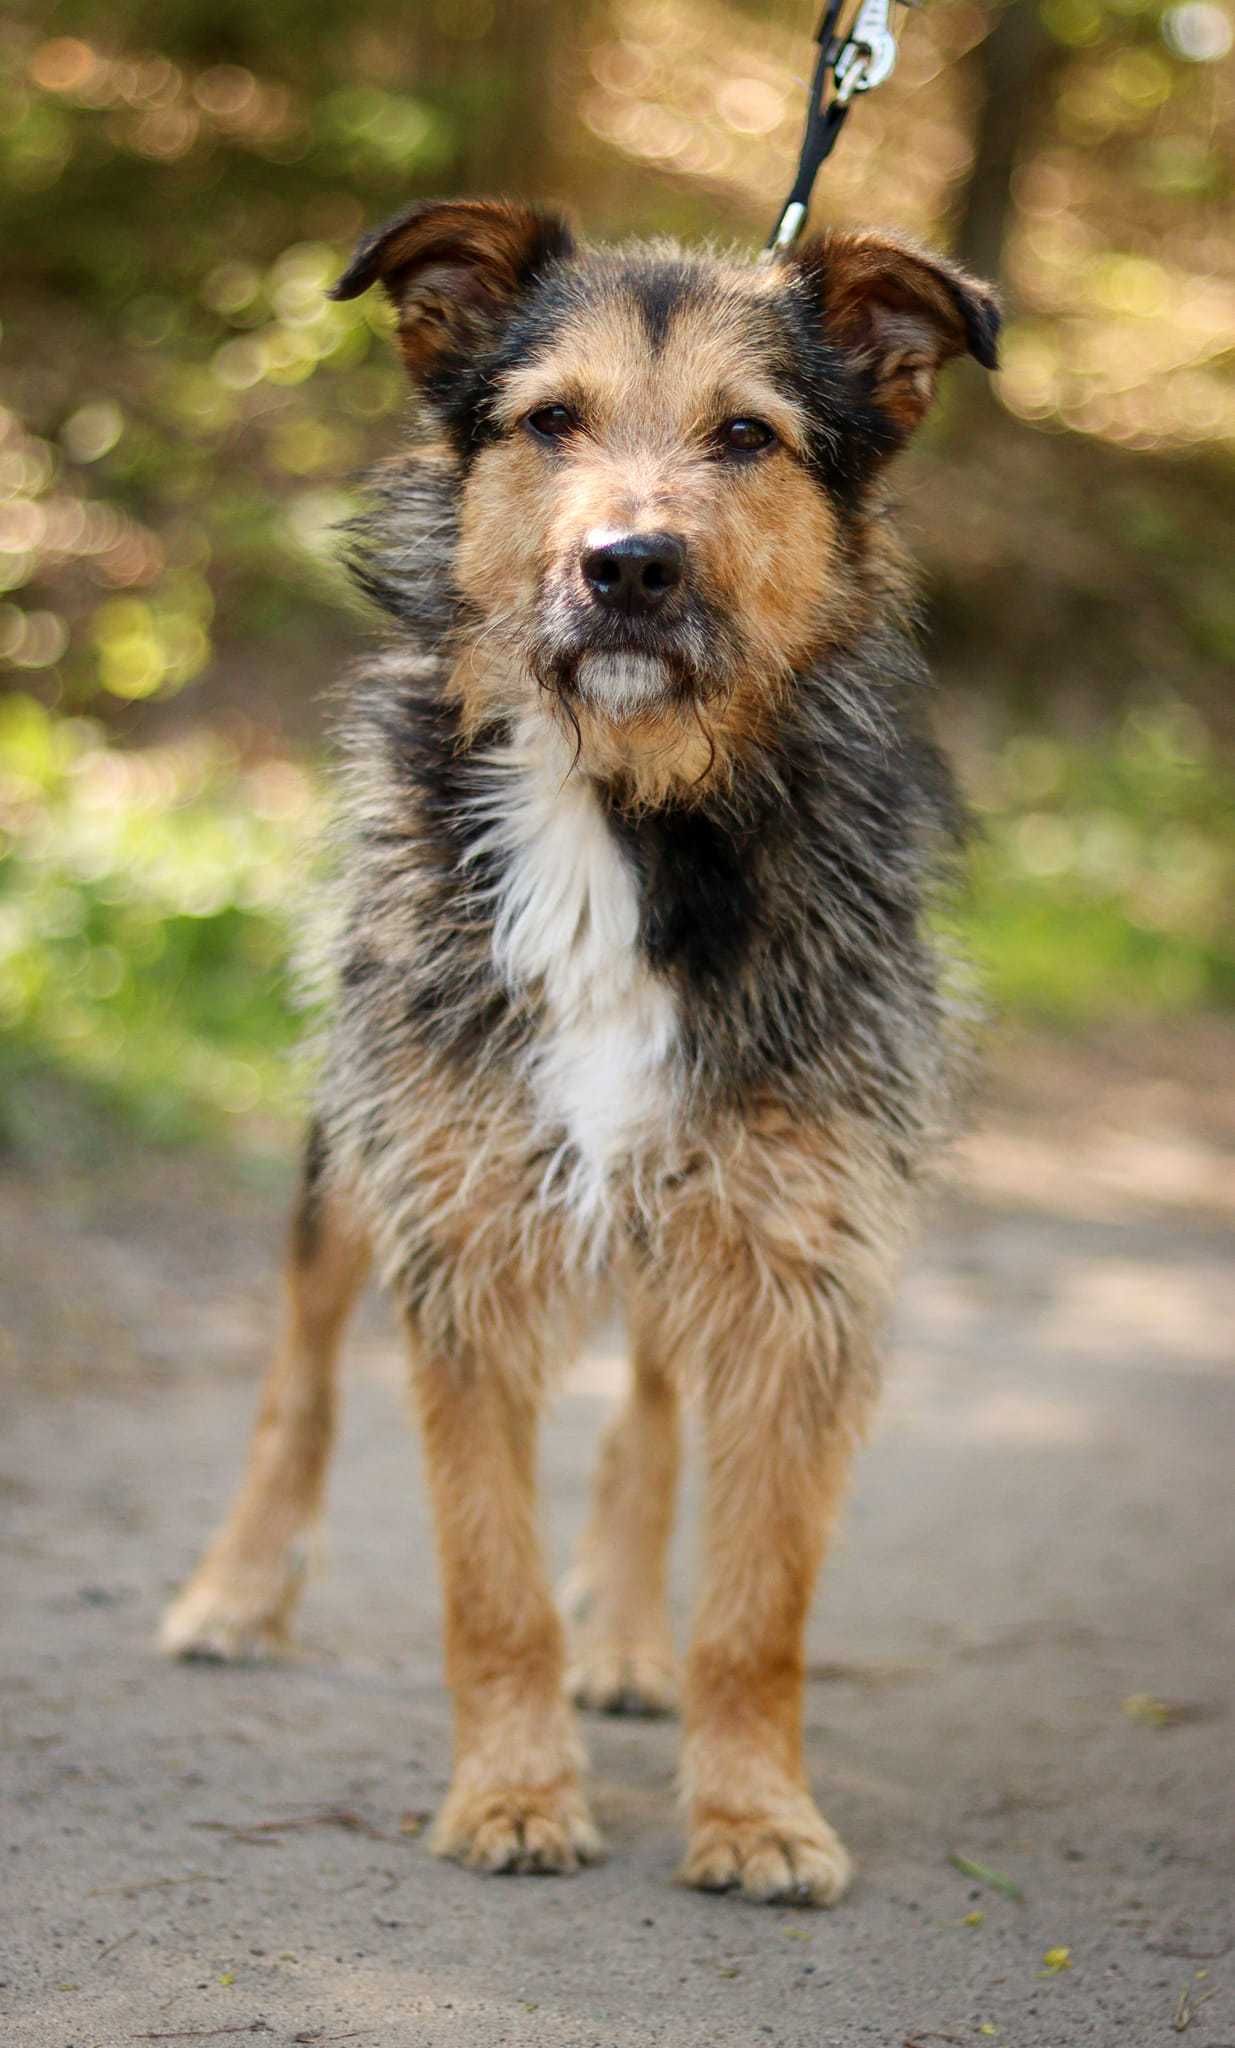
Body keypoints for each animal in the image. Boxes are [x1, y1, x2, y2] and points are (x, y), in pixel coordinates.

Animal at [159, 203, 999, 1900]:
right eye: (549, 421)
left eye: (745, 437)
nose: (628, 564)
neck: (624, 811)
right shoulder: (459, 1234)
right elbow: (487, 1585)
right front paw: (512, 1796)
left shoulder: (799, 1258)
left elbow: (757, 1608)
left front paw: (752, 1810)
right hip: (353, 1157)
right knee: (298, 1378)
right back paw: (234, 1592)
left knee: (651, 1416)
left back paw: (624, 1639)